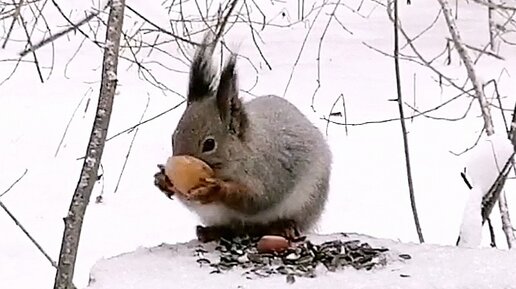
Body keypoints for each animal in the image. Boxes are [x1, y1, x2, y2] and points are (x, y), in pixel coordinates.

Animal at [153, 32, 332, 242]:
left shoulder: (269, 171)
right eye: (173, 138)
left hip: (307, 202)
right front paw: (163, 180)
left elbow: (256, 199)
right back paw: (210, 231)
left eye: (209, 144)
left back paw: (284, 227)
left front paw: (215, 190)